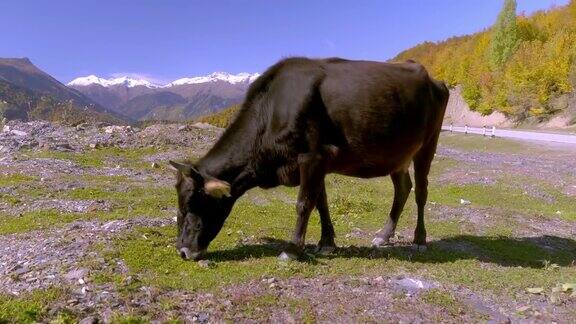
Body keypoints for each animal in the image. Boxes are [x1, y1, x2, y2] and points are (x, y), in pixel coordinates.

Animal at [170, 57, 450, 260]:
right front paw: (326, 242)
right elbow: (320, 202)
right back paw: (384, 235)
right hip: (397, 154)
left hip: (428, 143)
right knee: (403, 188)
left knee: (421, 190)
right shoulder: (320, 162)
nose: (183, 251)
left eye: (192, 205)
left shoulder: (310, 156)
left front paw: (293, 249)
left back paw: (419, 239)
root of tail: (431, 77)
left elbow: (304, 203)